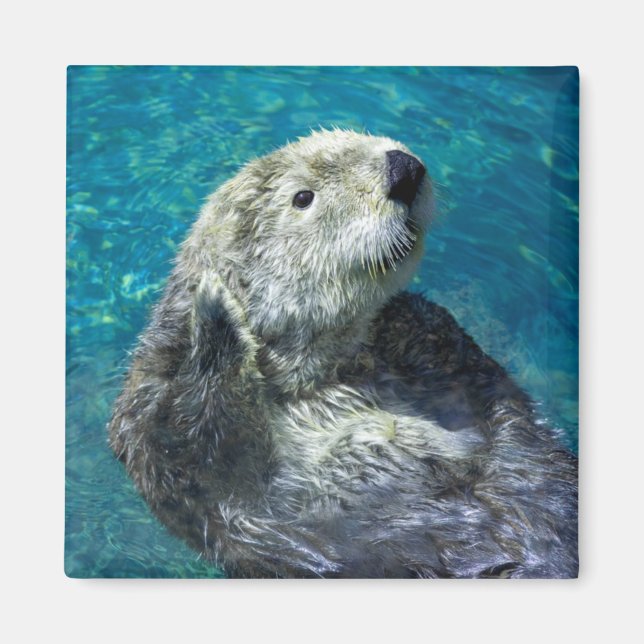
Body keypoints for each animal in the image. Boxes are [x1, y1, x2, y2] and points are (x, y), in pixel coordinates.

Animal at [108, 129, 578, 578]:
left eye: (360, 135)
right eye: (303, 197)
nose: (403, 168)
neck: (324, 376)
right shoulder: (159, 431)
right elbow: (203, 452)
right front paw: (215, 311)